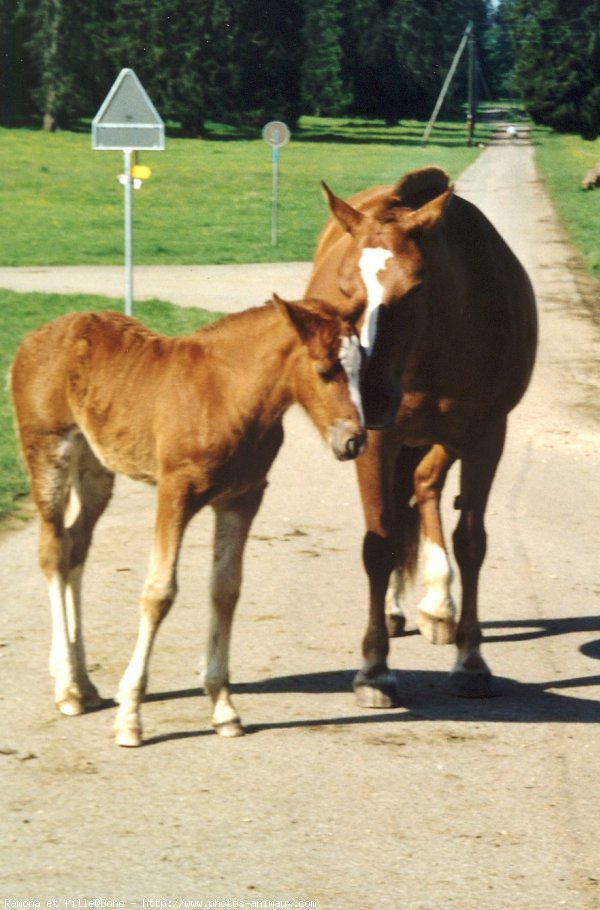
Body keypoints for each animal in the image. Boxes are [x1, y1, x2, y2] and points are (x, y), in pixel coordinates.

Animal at [10, 300, 366, 748]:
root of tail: (33, 337)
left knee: (76, 548)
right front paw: (130, 716)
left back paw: (84, 683)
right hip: (48, 450)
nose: (354, 441)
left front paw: (224, 709)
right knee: (53, 552)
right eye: (324, 371)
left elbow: (225, 590)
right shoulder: (174, 494)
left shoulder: (242, 499)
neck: (227, 394)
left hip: (94, 467)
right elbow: (159, 593)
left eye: (363, 363)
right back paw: (69, 689)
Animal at [308, 166, 536, 704]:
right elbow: (379, 542)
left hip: (444, 439)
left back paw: (438, 605)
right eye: (344, 287)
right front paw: (374, 670)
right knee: (403, 506)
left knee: (424, 486)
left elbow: (471, 541)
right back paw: (401, 609)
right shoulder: (377, 440)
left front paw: (471, 661)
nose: (368, 395)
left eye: (415, 288)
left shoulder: (486, 436)